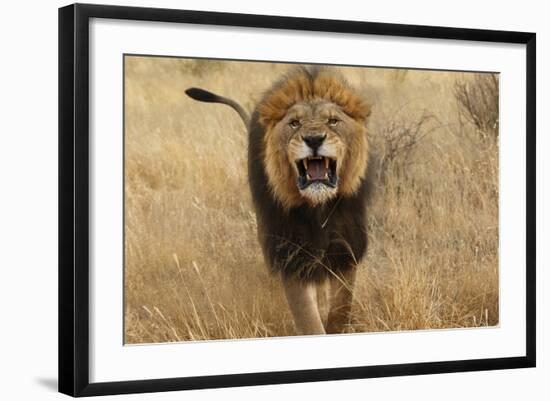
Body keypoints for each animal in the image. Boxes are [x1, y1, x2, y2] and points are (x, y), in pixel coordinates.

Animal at [188, 66, 374, 334]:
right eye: (294, 123)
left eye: (333, 121)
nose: (314, 139)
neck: (317, 209)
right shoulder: (291, 258)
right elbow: (309, 320)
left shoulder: (345, 253)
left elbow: (340, 310)